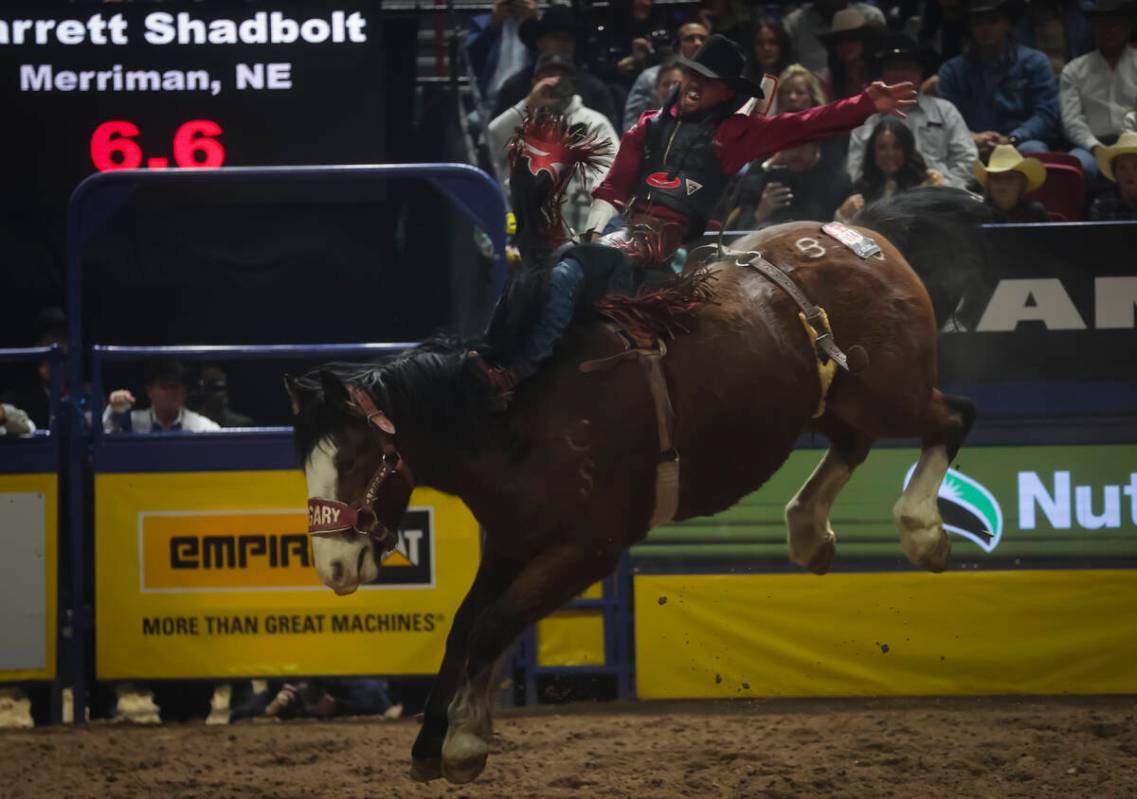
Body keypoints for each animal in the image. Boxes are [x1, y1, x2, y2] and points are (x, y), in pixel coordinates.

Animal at [286, 109, 996, 786]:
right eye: (307, 467)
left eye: (352, 460)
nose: (334, 569)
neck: (511, 414)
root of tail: (862, 234)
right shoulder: (513, 541)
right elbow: (465, 627)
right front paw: (431, 742)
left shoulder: (588, 549)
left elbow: (493, 625)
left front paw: (464, 743)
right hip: (835, 400)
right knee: (854, 443)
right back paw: (809, 533)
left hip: (892, 389)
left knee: (952, 418)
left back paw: (922, 532)